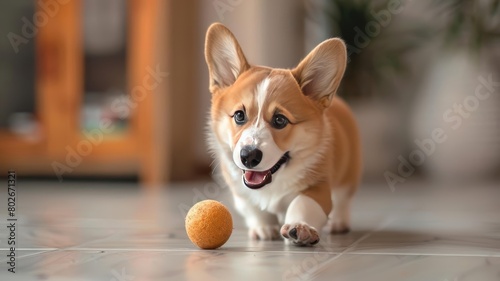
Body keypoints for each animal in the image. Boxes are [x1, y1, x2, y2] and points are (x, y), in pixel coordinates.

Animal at [205, 23, 362, 244]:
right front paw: (263, 228)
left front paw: (300, 227)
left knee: (343, 200)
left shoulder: (319, 186)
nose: (248, 156)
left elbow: (302, 203)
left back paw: (338, 223)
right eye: (239, 115)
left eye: (280, 120)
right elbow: (254, 209)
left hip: (348, 175)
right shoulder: (241, 193)